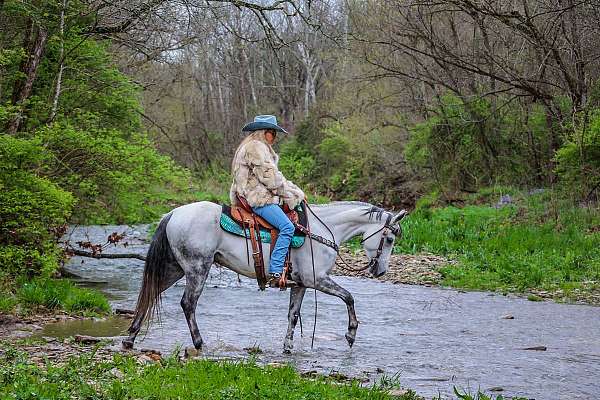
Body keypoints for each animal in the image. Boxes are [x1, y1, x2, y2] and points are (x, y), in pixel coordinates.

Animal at [125, 202, 408, 352]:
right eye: (390, 239)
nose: (381, 271)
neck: (321, 231)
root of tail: (173, 214)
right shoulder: (317, 280)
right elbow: (349, 297)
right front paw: (350, 334)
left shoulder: (301, 284)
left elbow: (293, 314)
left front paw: (287, 347)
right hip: (197, 268)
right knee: (188, 304)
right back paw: (199, 343)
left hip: (175, 268)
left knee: (150, 294)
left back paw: (130, 338)